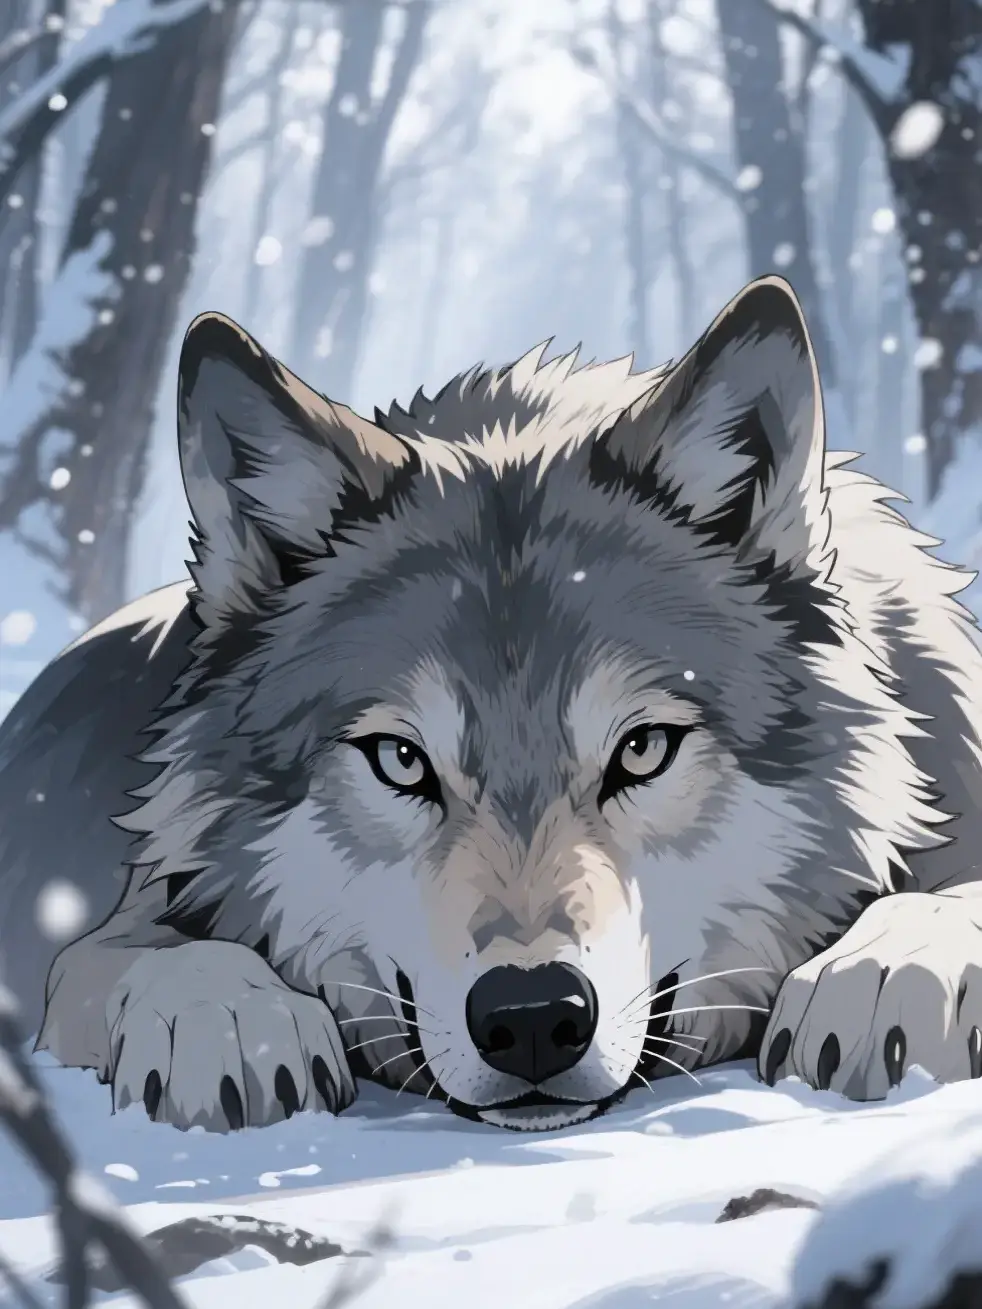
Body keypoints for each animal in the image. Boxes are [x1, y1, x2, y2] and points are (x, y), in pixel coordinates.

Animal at [2, 274, 982, 1136]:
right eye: (401, 760)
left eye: (642, 750)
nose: (534, 1016)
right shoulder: (126, 913)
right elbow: (131, 953)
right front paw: (229, 1017)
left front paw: (886, 969)